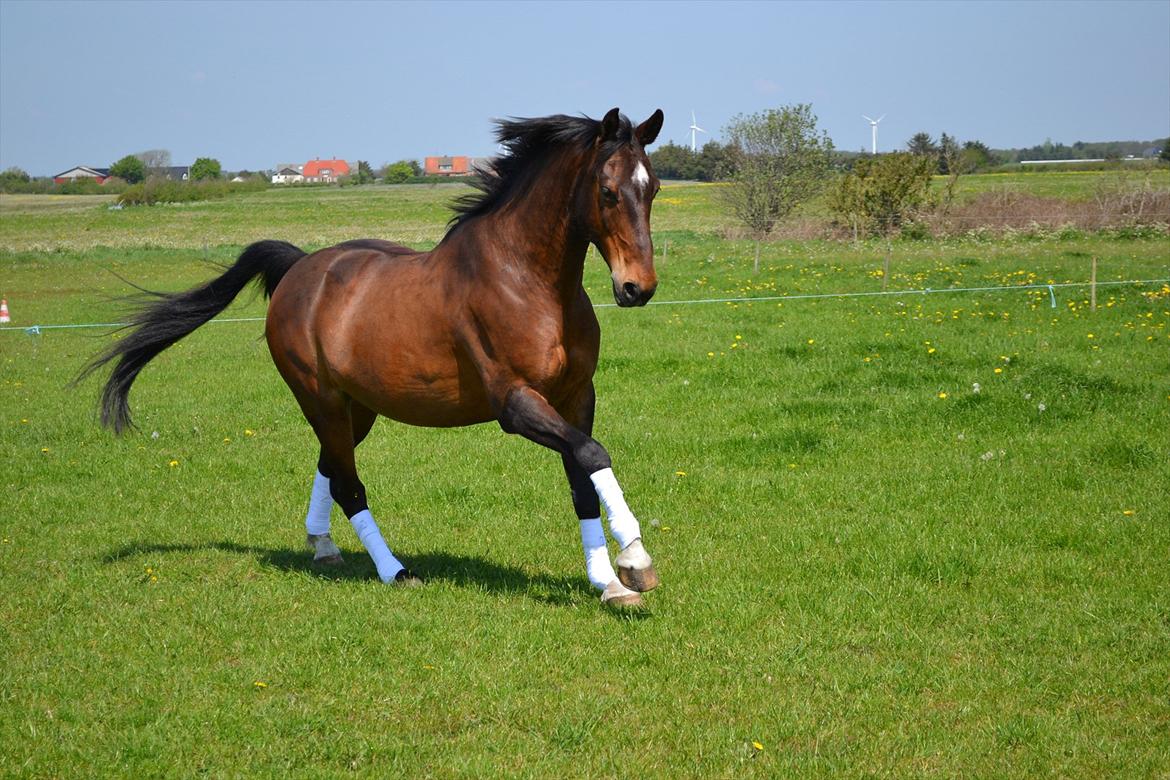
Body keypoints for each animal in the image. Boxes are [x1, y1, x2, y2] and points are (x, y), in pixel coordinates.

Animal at [81, 108, 664, 608]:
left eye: (653, 188)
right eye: (608, 191)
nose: (638, 289)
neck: (529, 281)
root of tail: (300, 268)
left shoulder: (575, 397)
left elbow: (582, 480)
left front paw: (609, 583)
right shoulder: (516, 403)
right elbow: (593, 455)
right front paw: (636, 561)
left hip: (355, 409)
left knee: (329, 465)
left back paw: (323, 547)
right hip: (319, 398)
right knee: (348, 483)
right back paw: (395, 571)